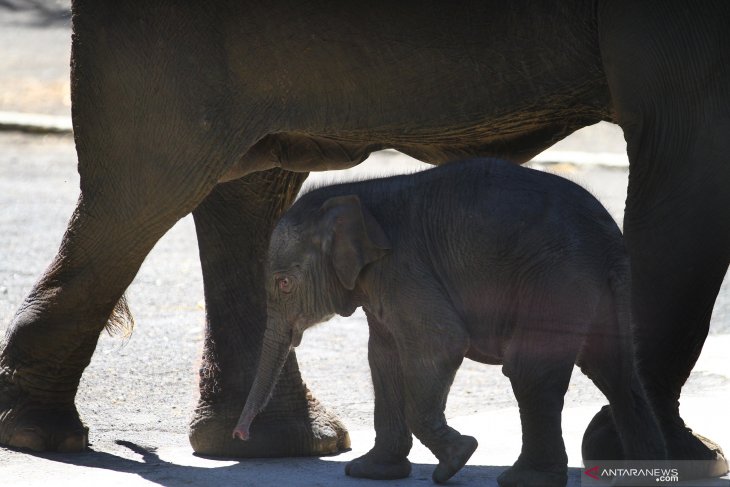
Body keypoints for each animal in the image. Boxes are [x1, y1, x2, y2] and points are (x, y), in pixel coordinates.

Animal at [235, 158, 664, 486]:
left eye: (284, 284)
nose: (241, 436)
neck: (357, 194)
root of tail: (608, 239)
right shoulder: (381, 285)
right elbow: (383, 359)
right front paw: (369, 472)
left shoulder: (403, 268)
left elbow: (439, 345)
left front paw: (459, 458)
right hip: (601, 286)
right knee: (617, 375)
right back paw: (646, 474)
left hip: (557, 277)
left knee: (531, 370)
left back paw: (522, 479)